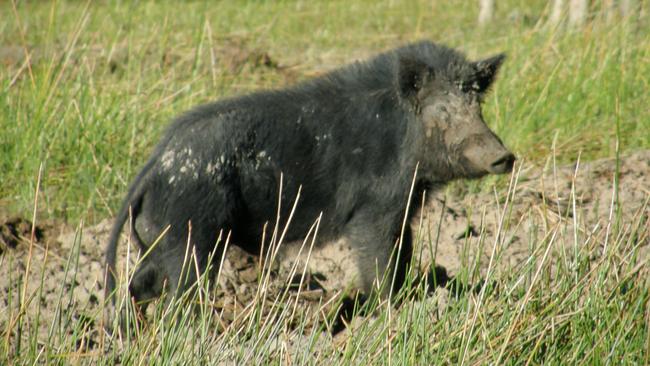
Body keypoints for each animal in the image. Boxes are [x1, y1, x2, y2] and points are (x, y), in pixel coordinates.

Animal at [105, 39, 512, 320]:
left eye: (476, 106)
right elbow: (378, 263)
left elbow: (405, 253)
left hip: (161, 241)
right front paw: (387, 311)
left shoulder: (405, 211)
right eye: (441, 111)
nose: (505, 157)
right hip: (191, 238)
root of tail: (151, 167)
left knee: (138, 285)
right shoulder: (374, 208)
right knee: (179, 294)